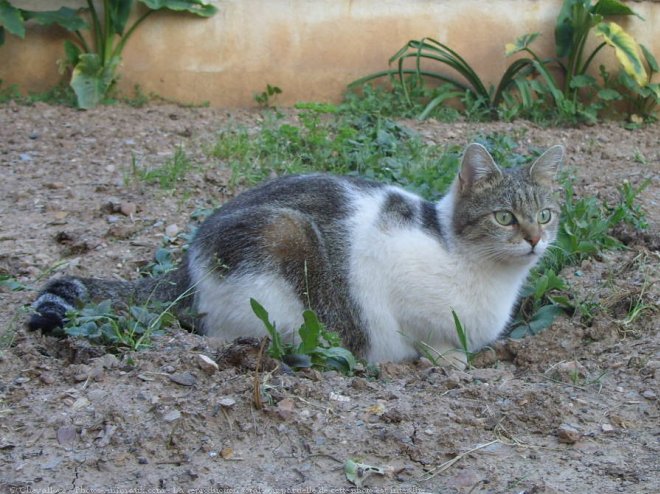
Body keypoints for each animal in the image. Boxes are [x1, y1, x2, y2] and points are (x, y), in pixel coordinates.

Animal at [29, 143, 564, 366]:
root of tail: (186, 265)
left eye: (547, 214)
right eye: (504, 217)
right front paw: (449, 360)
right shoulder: (396, 284)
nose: (534, 239)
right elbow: (425, 337)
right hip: (280, 237)